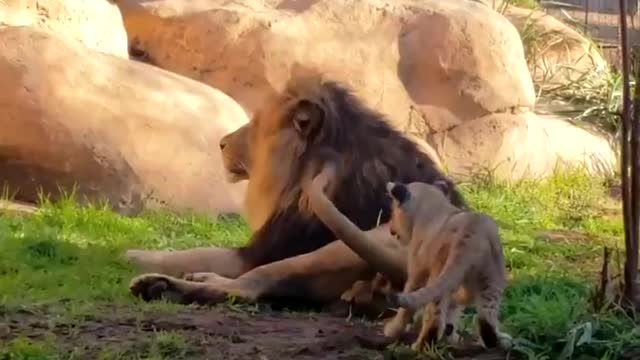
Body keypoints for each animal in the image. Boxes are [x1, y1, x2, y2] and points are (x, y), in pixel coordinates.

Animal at [126, 71, 464, 306]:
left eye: (256, 125)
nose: (221, 143)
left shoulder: (259, 252)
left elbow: (196, 252)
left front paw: (131, 253)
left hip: (339, 247)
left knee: (247, 287)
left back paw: (161, 284)